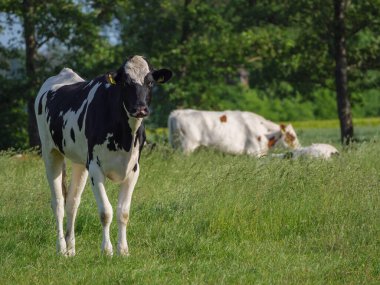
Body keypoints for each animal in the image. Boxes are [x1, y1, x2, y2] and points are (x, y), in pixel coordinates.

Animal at [35, 55, 172, 255]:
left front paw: (123, 250)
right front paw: (107, 250)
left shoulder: (134, 169)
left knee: (72, 203)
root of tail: (63, 74)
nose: (140, 108)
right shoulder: (95, 167)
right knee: (58, 203)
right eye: (125, 83)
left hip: (79, 162)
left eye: (150, 82)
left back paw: (71, 249)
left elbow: (123, 212)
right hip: (50, 152)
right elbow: (106, 212)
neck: (125, 138)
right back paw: (61, 248)